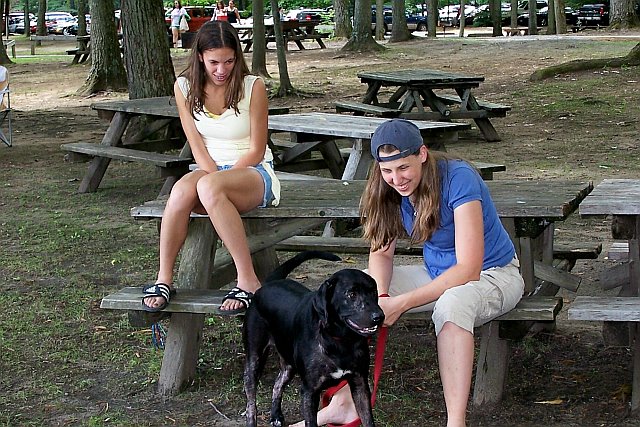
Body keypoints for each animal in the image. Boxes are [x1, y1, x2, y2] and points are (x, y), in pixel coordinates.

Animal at [243, 251, 384, 427]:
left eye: (373, 292)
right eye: (351, 294)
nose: (379, 317)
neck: (340, 341)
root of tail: (268, 284)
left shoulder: (360, 383)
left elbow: (368, 420)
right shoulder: (309, 391)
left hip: (289, 365)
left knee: (277, 385)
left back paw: (276, 415)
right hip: (254, 361)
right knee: (250, 403)